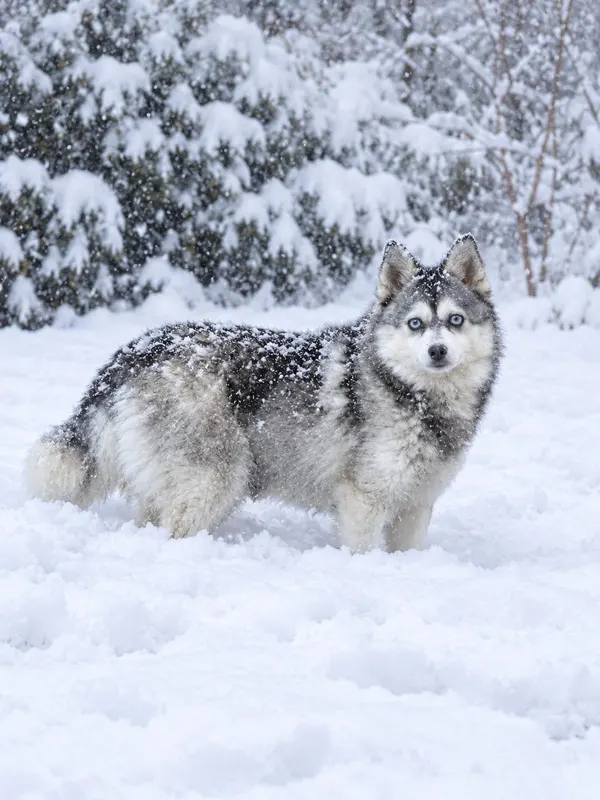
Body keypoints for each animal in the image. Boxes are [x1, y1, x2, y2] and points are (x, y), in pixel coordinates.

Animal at [26, 235, 502, 553]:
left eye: (455, 320)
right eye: (415, 324)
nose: (437, 351)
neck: (413, 396)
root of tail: (141, 347)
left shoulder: (415, 506)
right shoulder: (363, 501)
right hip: (217, 482)